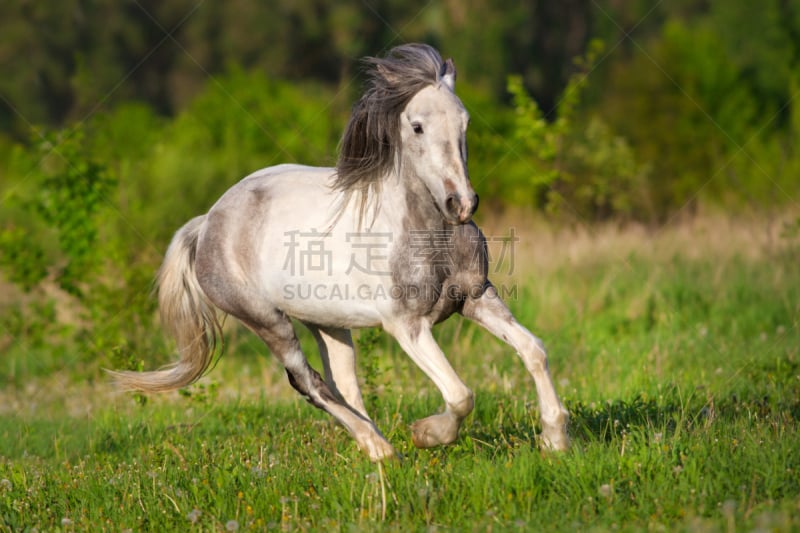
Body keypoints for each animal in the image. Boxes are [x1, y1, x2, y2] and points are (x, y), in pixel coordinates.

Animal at [112, 43, 568, 460]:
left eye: (465, 121)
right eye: (417, 127)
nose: (461, 204)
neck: (429, 235)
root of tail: (208, 221)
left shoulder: (476, 298)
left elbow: (534, 350)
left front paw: (555, 439)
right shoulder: (407, 326)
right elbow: (460, 394)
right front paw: (426, 434)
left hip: (327, 322)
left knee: (342, 385)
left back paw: (378, 447)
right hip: (267, 321)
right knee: (309, 383)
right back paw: (381, 450)